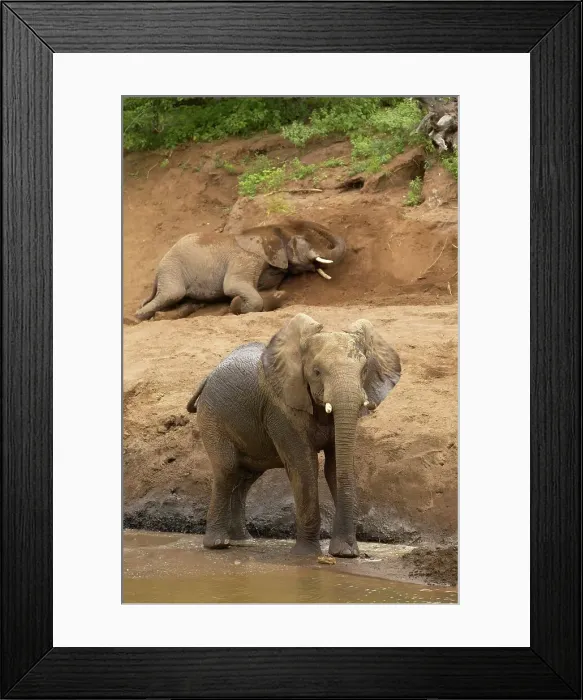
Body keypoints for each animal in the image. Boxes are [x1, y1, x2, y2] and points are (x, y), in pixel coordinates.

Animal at [135, 219, 346, 320]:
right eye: (304, 242)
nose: (295, 220)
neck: (267, 231)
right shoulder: (248, 258)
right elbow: (233, 286)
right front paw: (236, 304)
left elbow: (272, 292)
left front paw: (275, 296)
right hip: (172, 268)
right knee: (172, 293)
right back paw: (138, 318)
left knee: (190, 303)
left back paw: (161, 317)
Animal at [186, 313, 401, 558]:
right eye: (316, 371)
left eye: (364, 371)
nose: (346, 551)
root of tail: (206, 377)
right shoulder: (282, 409)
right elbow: (304, 465)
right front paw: (306, 556)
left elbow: (335, 467)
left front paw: (345, 554)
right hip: (212, 416)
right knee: (227, 470)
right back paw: (218, 544)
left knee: (245, 478)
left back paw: (244, 542)